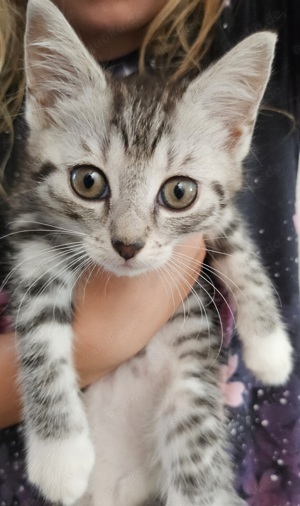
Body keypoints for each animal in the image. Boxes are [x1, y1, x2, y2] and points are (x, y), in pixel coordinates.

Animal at [5, 0, 292, 504]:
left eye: (179, 192)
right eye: (87, 182)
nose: (128, 244)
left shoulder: (216, 215)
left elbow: (239, 245)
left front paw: (270, 348)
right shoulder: (31, 225)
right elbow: (40, 329)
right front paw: (60, 454)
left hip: (190, 415)